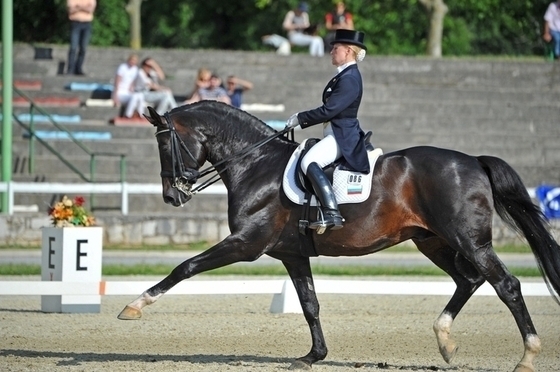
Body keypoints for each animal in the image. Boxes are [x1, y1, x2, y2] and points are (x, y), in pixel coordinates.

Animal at [118, 101, 560, 372]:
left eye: (165, 144)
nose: (172, 196)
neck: (256, 164)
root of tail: (474, 161)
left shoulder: (246, 245)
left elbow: (185, 266)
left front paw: (133, 306)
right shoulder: (291, 254)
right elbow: (309, 304)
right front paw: (314, 356)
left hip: (468, 240)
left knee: (506, 285)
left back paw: (526, 357)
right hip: (432, 240)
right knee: (469, 280)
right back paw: (445, 342)